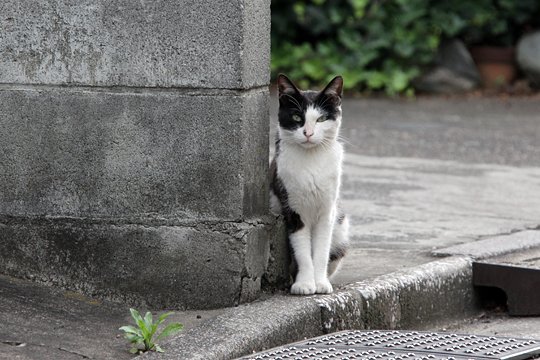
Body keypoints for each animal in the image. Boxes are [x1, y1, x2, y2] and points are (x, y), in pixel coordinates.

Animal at [270, 74, 350, 296]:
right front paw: (304, 283)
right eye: (297, 117)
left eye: (321, 119)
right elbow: (303, 252)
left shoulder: (327, 212)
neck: (311, 158)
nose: (308, 133)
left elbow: (321, 252)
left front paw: (320, 283)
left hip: (341, 227)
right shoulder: (293, 209)